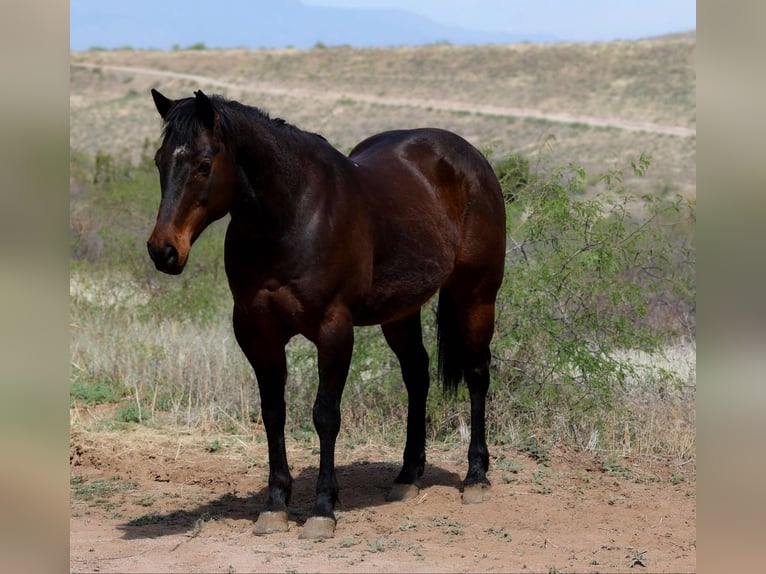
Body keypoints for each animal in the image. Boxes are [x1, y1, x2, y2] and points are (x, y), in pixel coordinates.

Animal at [147, 89, 506, 539]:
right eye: (159, 160)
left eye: (203, 163)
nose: (163, 251)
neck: (291, 216)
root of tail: (472, 159)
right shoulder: (256, 332)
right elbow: (273, 413)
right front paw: (275, 504)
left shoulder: (334, 330)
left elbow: (325, 415)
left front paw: (322, 508)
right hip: (400, 312)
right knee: (417, 375)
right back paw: (407, 476)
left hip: (476, 295)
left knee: (477, 374)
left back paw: (476, 477)